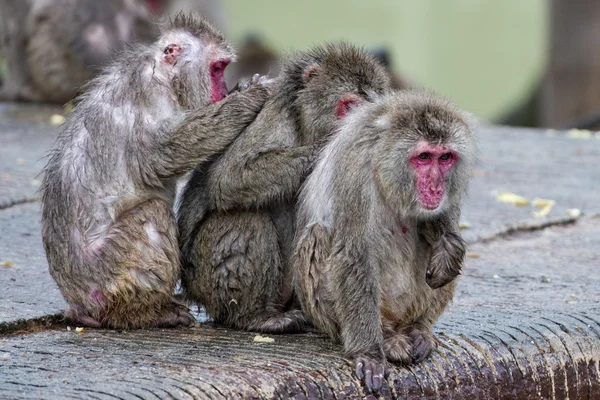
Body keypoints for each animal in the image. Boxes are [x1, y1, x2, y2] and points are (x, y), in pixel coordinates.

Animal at [41, 14, 268, 330]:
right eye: (218, 68)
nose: (223, 92)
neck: (166, 77)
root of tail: (78, 303)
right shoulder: (148, 95)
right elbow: (161, 156)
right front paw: (246, 100)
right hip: (108, 271)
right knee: (153, 213)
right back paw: (146, 313)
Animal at [178, 43, 392, 332]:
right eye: (349, 106)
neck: (304, 124)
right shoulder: (275, 114)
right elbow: (229, 178)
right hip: (205, 281)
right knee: (245, 220)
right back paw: (256, 317)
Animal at [292, 89, 476, 392]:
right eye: (424, 157)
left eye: (445, 158)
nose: (436, 186)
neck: (383, 162)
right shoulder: (354, 167)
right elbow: (352, 253)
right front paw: (368, 352)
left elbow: (444, 232)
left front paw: (449, 245)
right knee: (318, 234)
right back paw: (387, 337)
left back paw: (419, 328)